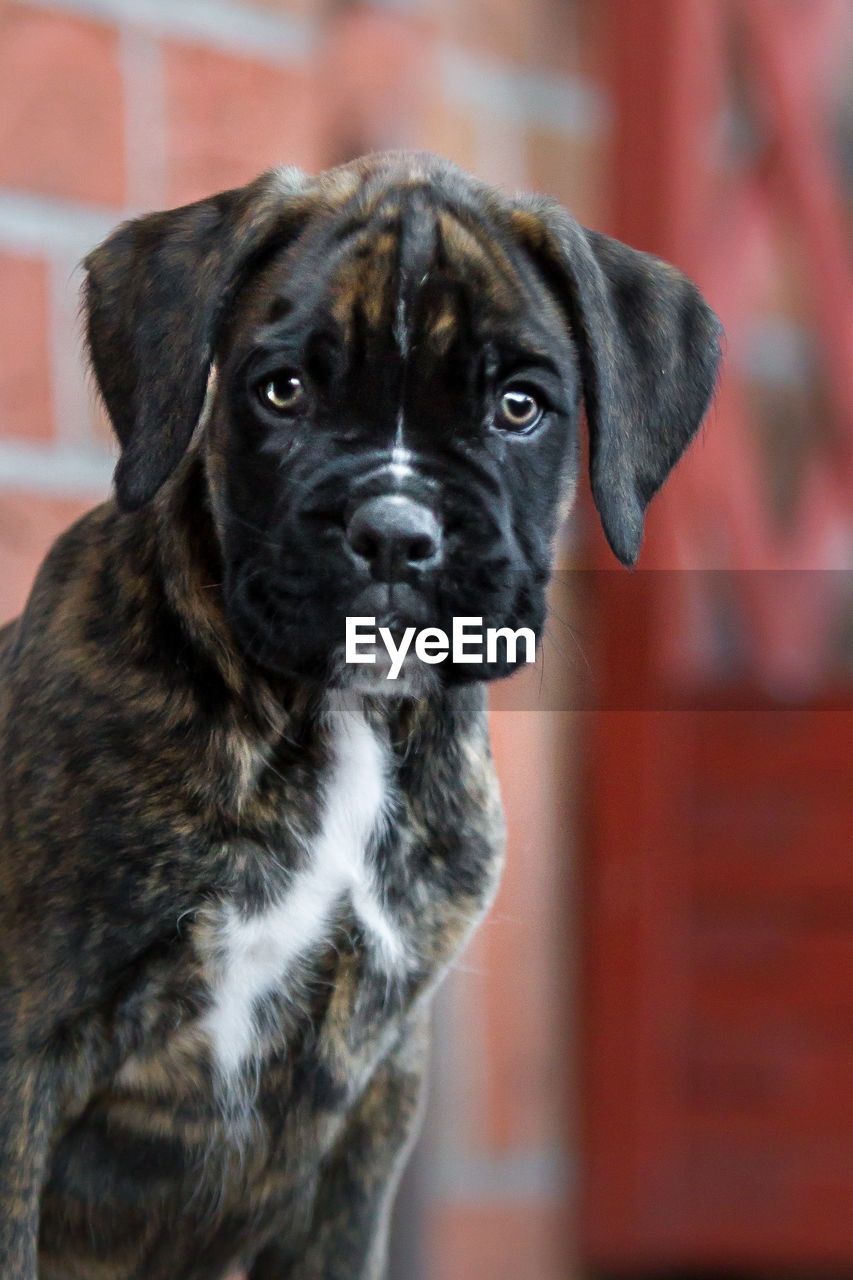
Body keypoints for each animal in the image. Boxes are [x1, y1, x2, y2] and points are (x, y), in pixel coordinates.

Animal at [0, 152, 717, 1280]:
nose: (394, 529)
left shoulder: (368, 1101)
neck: (343, 721)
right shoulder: (24, 1047)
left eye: (519, 406)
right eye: (283, 391)